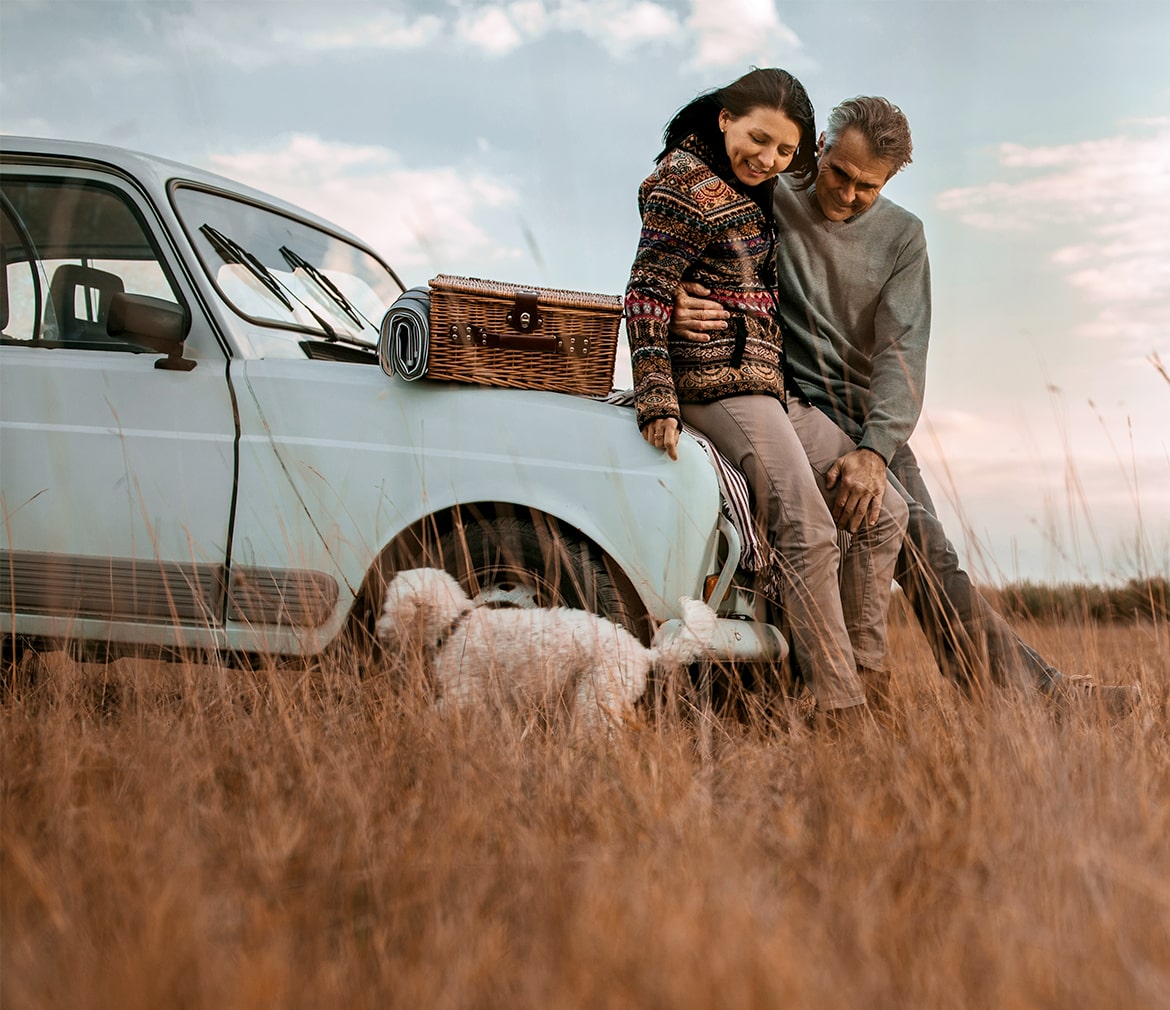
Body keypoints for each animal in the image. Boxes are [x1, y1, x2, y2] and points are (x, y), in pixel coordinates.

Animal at [374, 564, 720, 730]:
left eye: (388, 603)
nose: (379, 631)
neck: (458, 621)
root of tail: (643, 653)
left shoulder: (464, 694)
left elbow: (441, 711)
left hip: (597, 697)